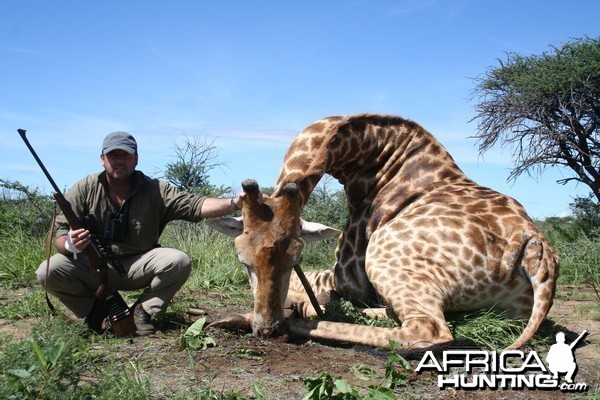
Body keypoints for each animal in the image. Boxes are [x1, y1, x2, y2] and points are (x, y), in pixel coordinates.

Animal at [210, 113, 556, 350]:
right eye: (243, 261)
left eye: (295, 258)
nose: (267, 329)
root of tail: (534, 247)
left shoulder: (347, 276)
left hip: (383, 257)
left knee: (428, 332)